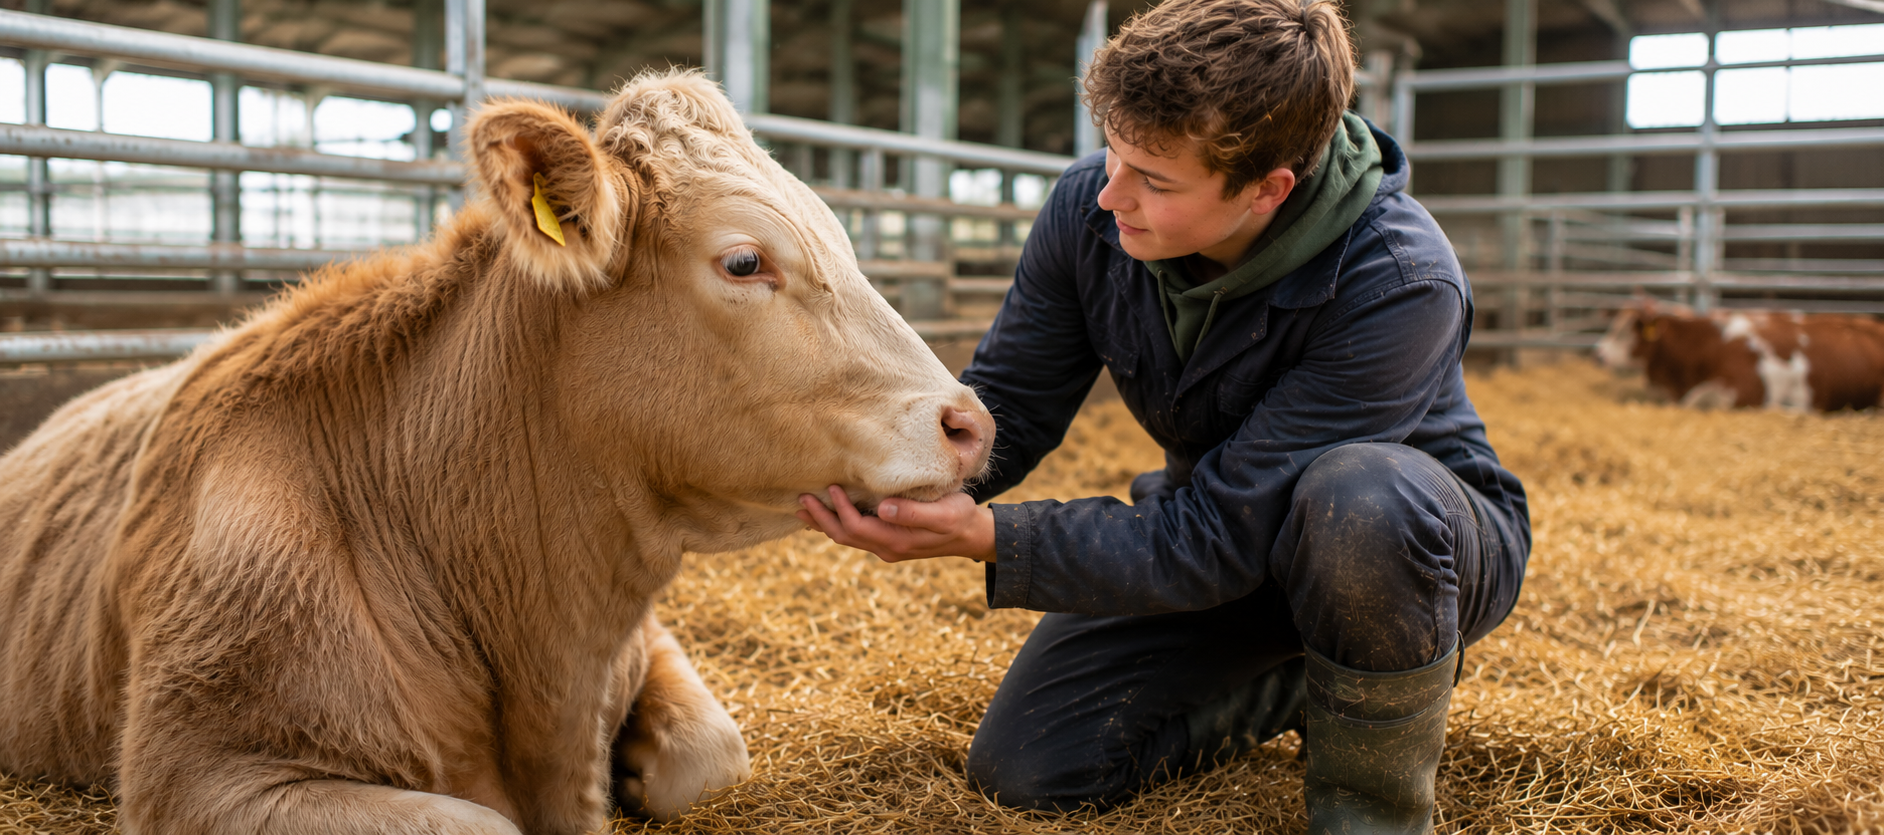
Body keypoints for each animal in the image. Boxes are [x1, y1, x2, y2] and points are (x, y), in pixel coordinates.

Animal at [0, 69, 994, 835]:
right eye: (745, 261)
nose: (968, 421)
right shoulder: (196, 771)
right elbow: (479, 822)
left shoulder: (642, 642)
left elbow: (710, 753)